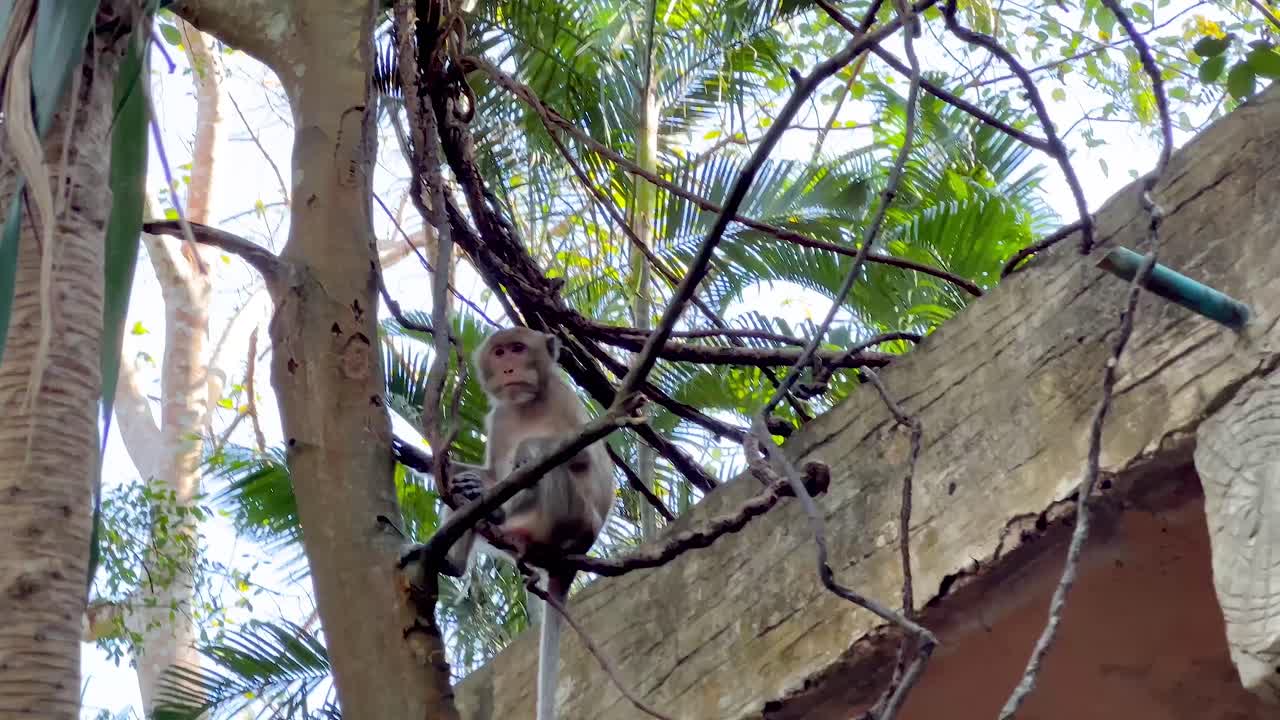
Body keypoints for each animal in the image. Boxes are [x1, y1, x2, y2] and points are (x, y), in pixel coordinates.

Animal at [420, 326, 615, 720]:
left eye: (518, 349)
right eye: (500, 353)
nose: (509, 368)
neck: (527, 403)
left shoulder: (563, 397)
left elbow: (583, 455)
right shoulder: (501, 417)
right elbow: (492, 473)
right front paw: (458, 477)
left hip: (574, 521)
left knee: (548, 465)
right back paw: (457, 553)